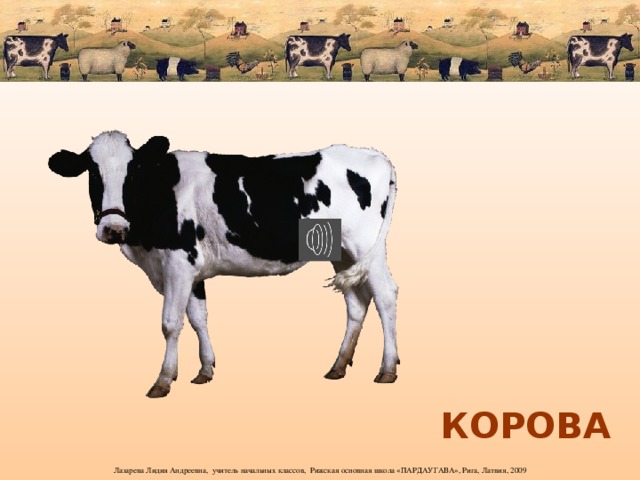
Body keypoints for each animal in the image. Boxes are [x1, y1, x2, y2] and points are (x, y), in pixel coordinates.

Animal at [48, 131, 399, 398]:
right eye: (93, 173)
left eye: (133, 172)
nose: (113, 229)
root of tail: (376, 155)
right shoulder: (191, 270)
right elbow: (198, 318)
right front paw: (204, 370)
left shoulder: (178, 262)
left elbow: (170, 323)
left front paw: (163, 380)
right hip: (342, 252)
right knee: (356, 303)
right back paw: (338, 366)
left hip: (365, 244)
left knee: (385, 296)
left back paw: (387, 369)